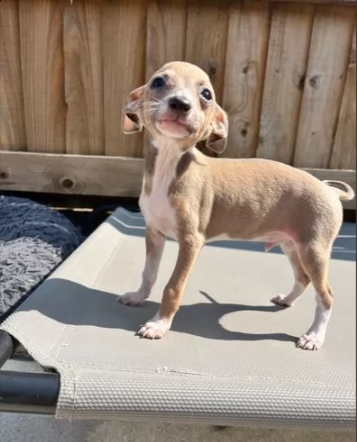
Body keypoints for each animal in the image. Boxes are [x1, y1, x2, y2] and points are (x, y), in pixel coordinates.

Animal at [119, 63, 354, 352]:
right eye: (158, 82)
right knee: (303, 278)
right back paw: (287, 300)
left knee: (326, 295)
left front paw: (159, 324)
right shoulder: (154, 233)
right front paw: (138, 296)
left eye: (206, 94)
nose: (181, 104)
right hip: (292, 245)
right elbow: (148, 274)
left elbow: (173, 286)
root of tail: (329, 189)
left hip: (314, 250)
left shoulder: (191, 242)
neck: (168, 164)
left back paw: (314, 336)